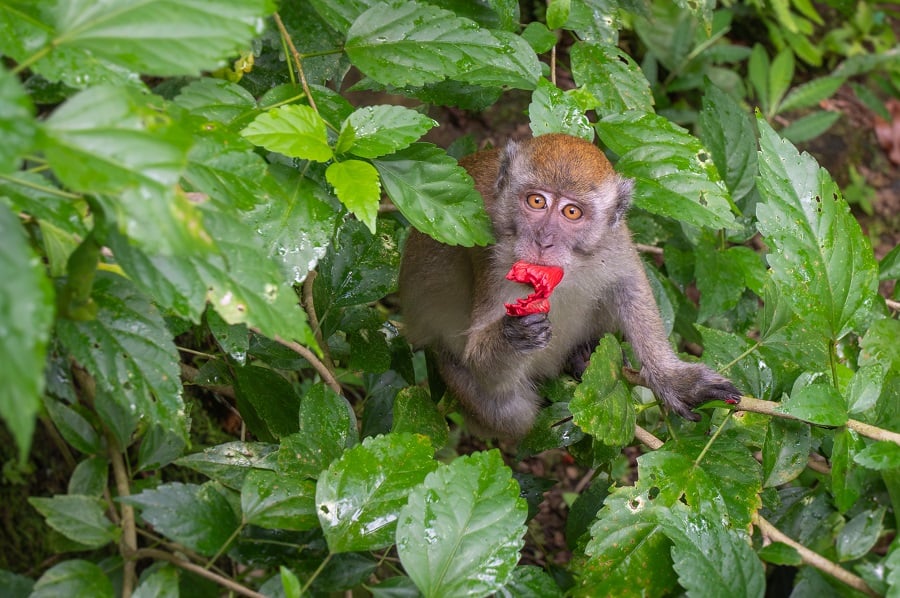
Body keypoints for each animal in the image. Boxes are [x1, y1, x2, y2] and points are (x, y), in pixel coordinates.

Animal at [400, 134, 740, 438]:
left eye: (571, 212)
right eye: (537, 201)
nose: (543, 241)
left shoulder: (614, 239)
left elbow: (629, 284)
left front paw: (673, 379)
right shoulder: (490, 257)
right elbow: (476, 357)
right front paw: (515, 334)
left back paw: (582, 354)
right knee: (511, 413)